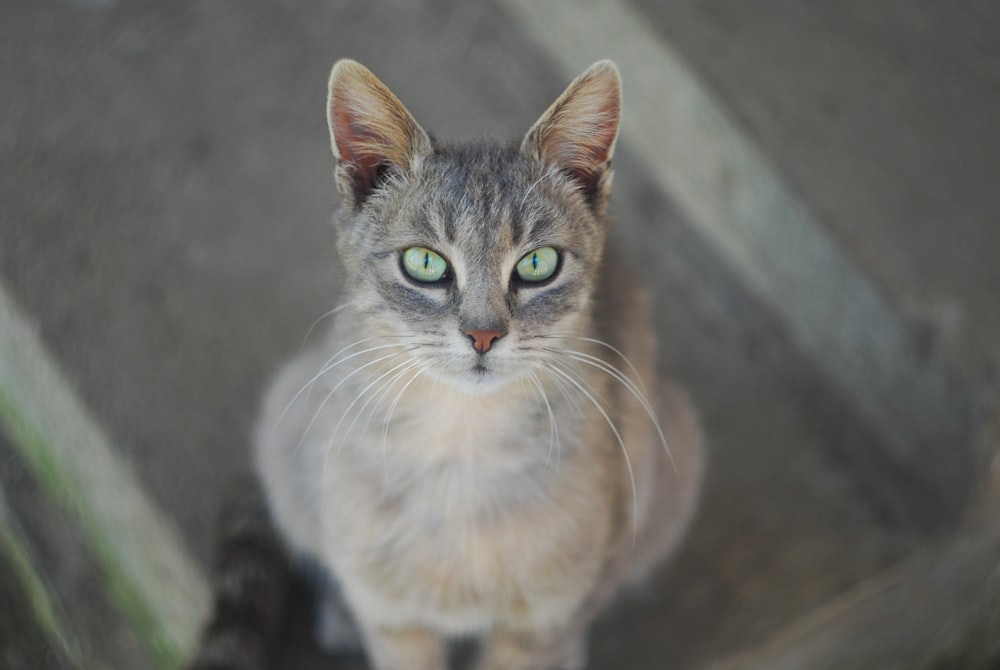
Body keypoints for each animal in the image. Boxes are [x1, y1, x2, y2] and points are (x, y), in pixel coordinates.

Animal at [188, 59, 704, 670]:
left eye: (538, 263)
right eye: (425, 262)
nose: (483, 335)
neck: (461, 445)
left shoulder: (538, 621)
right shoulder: (393, 619)